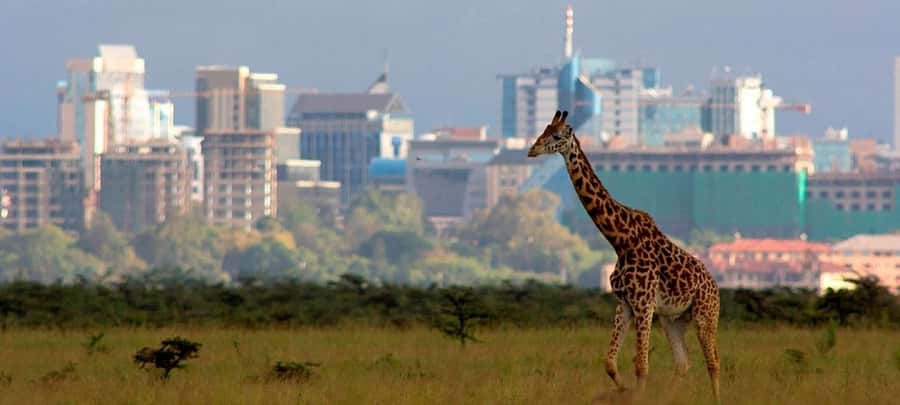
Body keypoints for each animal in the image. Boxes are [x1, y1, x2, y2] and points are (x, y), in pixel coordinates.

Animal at [527, 110, 720, 400]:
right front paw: (624, 390)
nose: (532, 149)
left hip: (705, 315)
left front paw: (634, 394)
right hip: (673, 320)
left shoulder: (644, 303)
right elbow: (610, 363)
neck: (620, 240)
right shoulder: (625, 304)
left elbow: (641, 365)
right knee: (683, 363)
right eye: (544, 130)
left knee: (713, 362)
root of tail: (716, 289)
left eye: (557, 136)